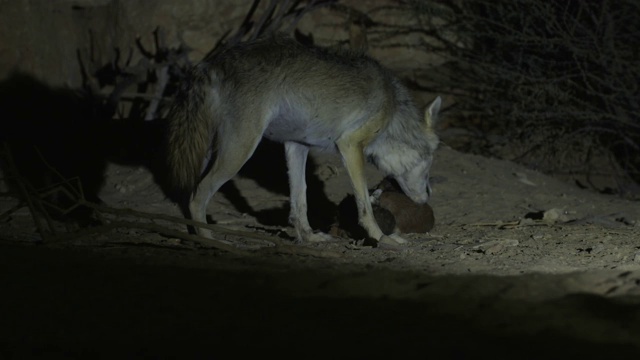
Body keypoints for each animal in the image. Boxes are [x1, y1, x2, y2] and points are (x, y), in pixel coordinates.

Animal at [165, 34, 440, 245]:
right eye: (429, 161)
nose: (429, 195)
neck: (393, 111)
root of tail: (209, 65)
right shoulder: (350, 146)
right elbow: (365, 206)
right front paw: (383, 238)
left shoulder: (297, 146)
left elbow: (300, 201)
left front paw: (308, 237)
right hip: (238, 152)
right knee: (196, 197)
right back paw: (209, 239)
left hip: (207, 152)